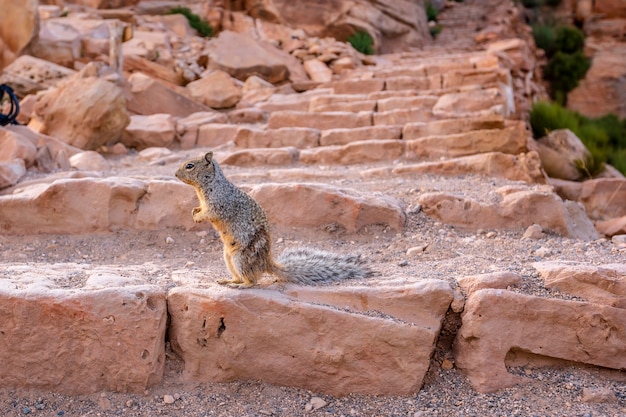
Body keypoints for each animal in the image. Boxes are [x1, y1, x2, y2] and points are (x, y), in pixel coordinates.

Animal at [173, 151, 372, 288]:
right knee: (240, 276)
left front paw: (198, 217)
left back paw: (241, 285)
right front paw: (194, 211)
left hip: (240, 258)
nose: (175, 174)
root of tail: (266, 263)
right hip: (228, 258)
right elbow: (200, 209)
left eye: (190, 165)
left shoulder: (218, 204)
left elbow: (210, 214)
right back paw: (228, 280)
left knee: (252, 280)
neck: (207, 186)